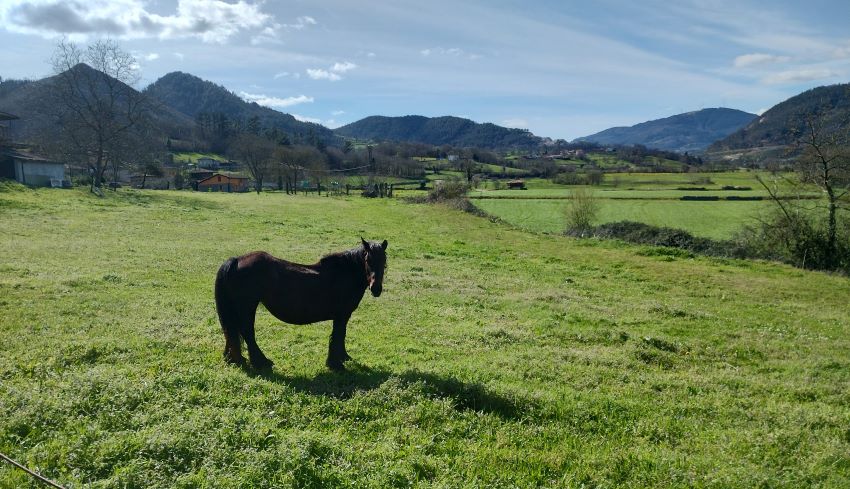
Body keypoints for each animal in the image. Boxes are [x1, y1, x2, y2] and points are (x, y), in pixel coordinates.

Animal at [214, 238, 388, 371]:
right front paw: (335, 364)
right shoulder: (341, 315)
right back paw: (261, 362)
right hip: (247, 307)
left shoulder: (342, 316)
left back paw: (235, 359)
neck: (344, 273)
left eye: (384, 262)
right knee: (247, 332)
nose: (376, 289)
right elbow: (337, 336)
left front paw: (343, 357)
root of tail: (237, 260)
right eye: (367, 260)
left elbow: (340, 335)